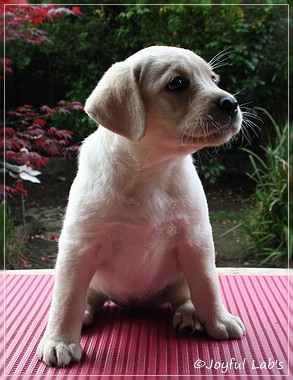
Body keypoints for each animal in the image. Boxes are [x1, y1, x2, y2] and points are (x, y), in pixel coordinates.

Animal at [37, 46, 245, 366]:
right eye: (177, 83)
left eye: (213, 79)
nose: (232, 103)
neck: (151, 171)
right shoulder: (79, 246)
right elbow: (66, 298)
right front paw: (59, 341)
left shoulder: (195, 241)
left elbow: (208, 287)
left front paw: (219, 320)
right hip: (92, 279)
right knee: (86, 298)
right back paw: (84, 313)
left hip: (179, 275)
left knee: (184, 295)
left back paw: (189, 314)